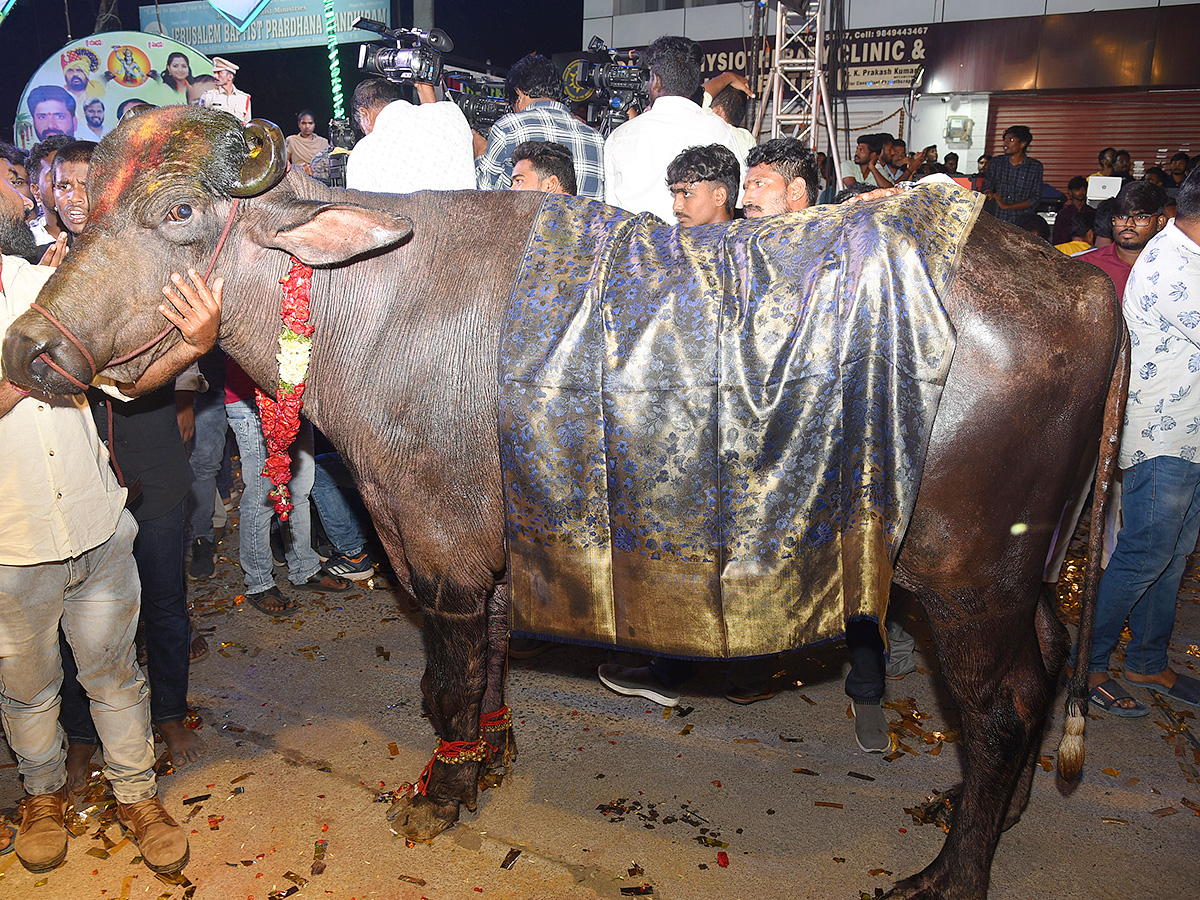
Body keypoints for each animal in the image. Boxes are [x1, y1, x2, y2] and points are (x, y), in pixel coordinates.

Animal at [4, 107, 1123, 900]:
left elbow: (450, 682)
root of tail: (1080, 289)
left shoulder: (443, 552)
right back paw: (988, 814)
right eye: (84, 210)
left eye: (179, 214)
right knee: (1046, 665)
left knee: (1001, 705)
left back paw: (953, 873)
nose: (31, 348)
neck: (366, 303)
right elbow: (494, 658)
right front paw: (490, 759)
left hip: (966, 578)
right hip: (1025, 570)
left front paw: (444, 790)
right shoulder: (487, 552)